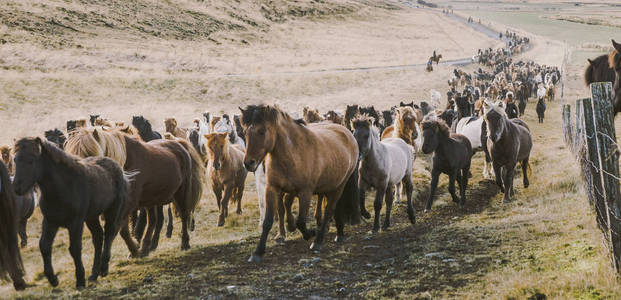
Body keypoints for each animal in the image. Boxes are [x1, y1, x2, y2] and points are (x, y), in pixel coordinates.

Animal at [13, 138, 128, 288]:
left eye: (31, 161)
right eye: (15, 159)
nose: (17, 188)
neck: (63, 188)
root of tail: (116, 166)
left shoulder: (75, 222)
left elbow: (74, 249)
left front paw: (80, 280)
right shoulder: (50, 221)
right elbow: (44, 246)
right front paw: (53, 279)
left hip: (112, 210)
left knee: (109, 233)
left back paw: (103, 269)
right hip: (91, 217)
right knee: (98, 237)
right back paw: (94, 274)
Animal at [240, 104, 360, 262]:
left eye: (262, 131)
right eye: (245, 133)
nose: (249, 163)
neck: (293, 153)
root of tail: (347, 133)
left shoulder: (305, 192)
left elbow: (301, 221)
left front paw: (311, 233)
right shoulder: (272, 189)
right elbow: (268, 221)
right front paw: (258, 252)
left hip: (339, 186)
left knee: (329, 210)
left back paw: (318, 241)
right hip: (329, 186)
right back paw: (338, 233)